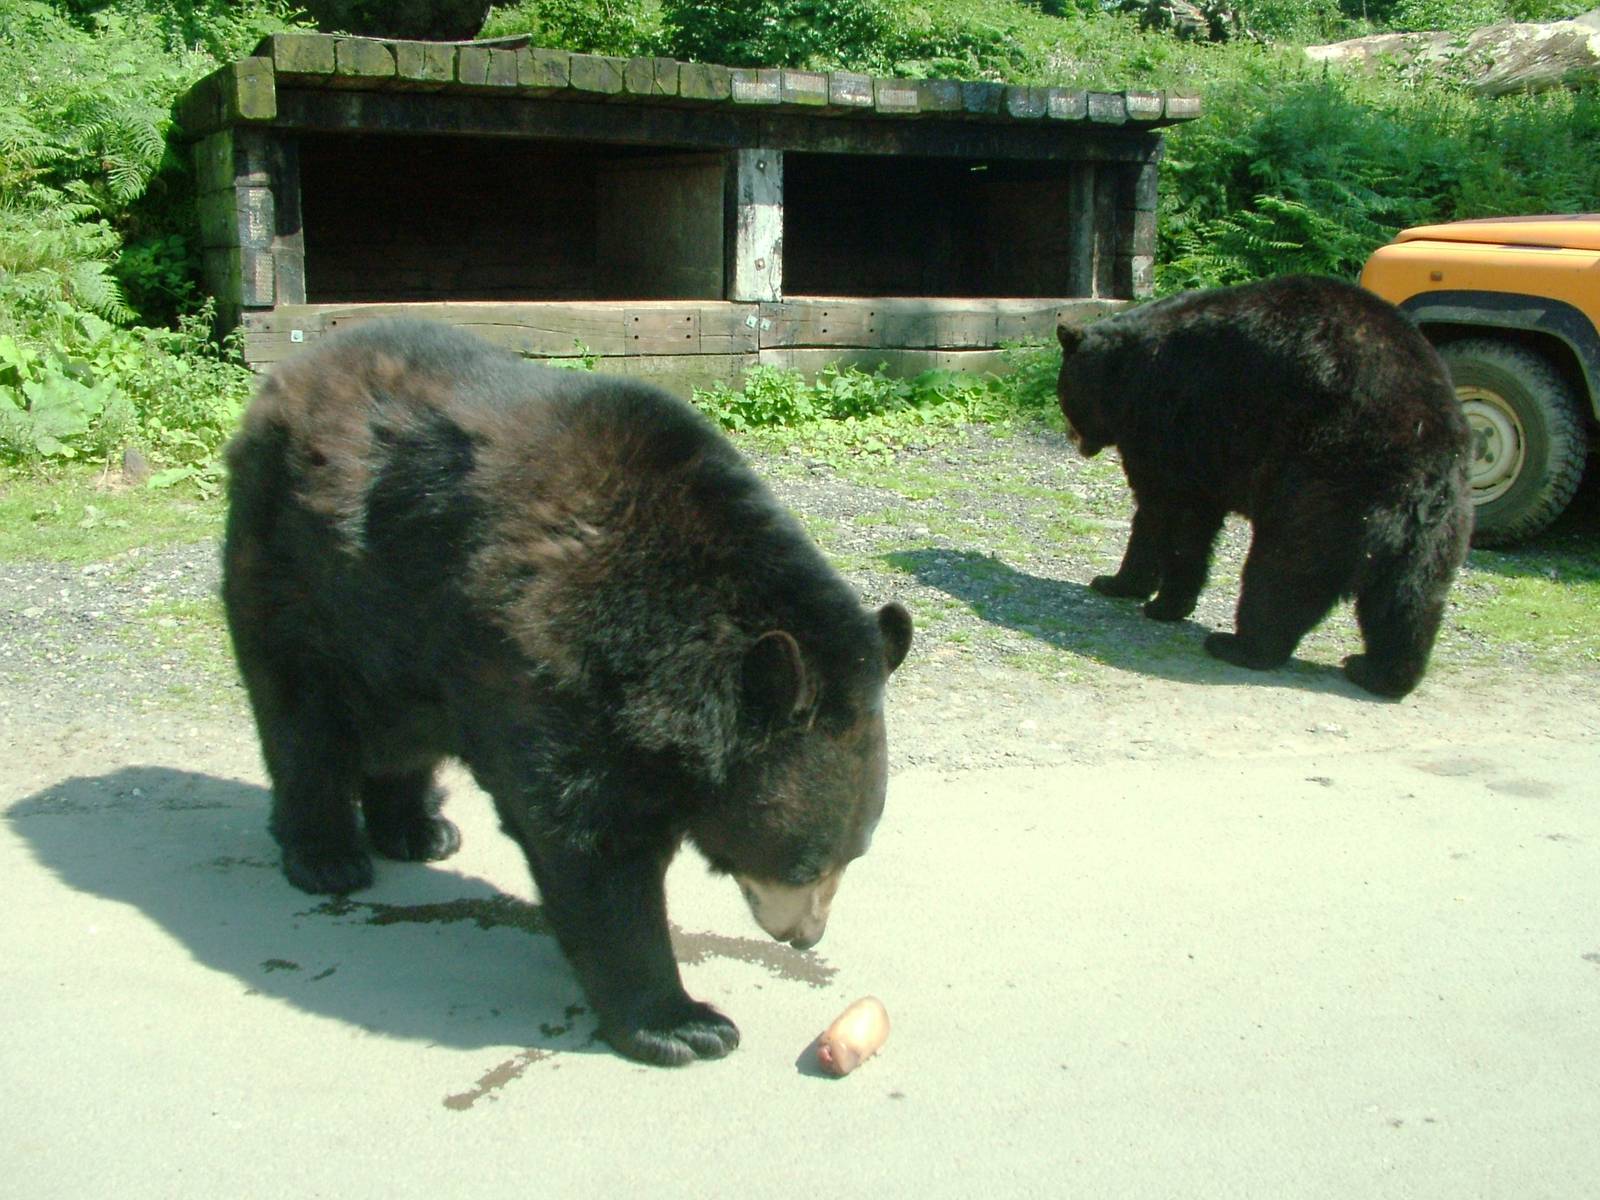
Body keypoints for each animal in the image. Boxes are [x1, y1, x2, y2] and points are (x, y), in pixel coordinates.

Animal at [221, 318, 913, 1066]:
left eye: (856, 852)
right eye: (804, 859)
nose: (806, 936)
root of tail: (288, 372)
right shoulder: (551, 658)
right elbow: (590, 844)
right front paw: (684, 1021)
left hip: (398, 630)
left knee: (402, 731)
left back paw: (419, 829)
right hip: (298, 572)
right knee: (301, 720)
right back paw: (326, 857)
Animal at [1055, 274, 1473, 699]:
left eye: (1063, 394)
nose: (1073, 438)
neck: (1126, 374)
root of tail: (1421, 461)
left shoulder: (1172, 426)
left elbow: (1168, 514)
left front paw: (1138, 592)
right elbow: (1178, 520)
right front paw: (1142, 591)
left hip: (1323, 484)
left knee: (1282, 573)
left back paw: (1239, 645)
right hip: (1437, 527)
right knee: (1408, 599)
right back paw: (1379, 672)